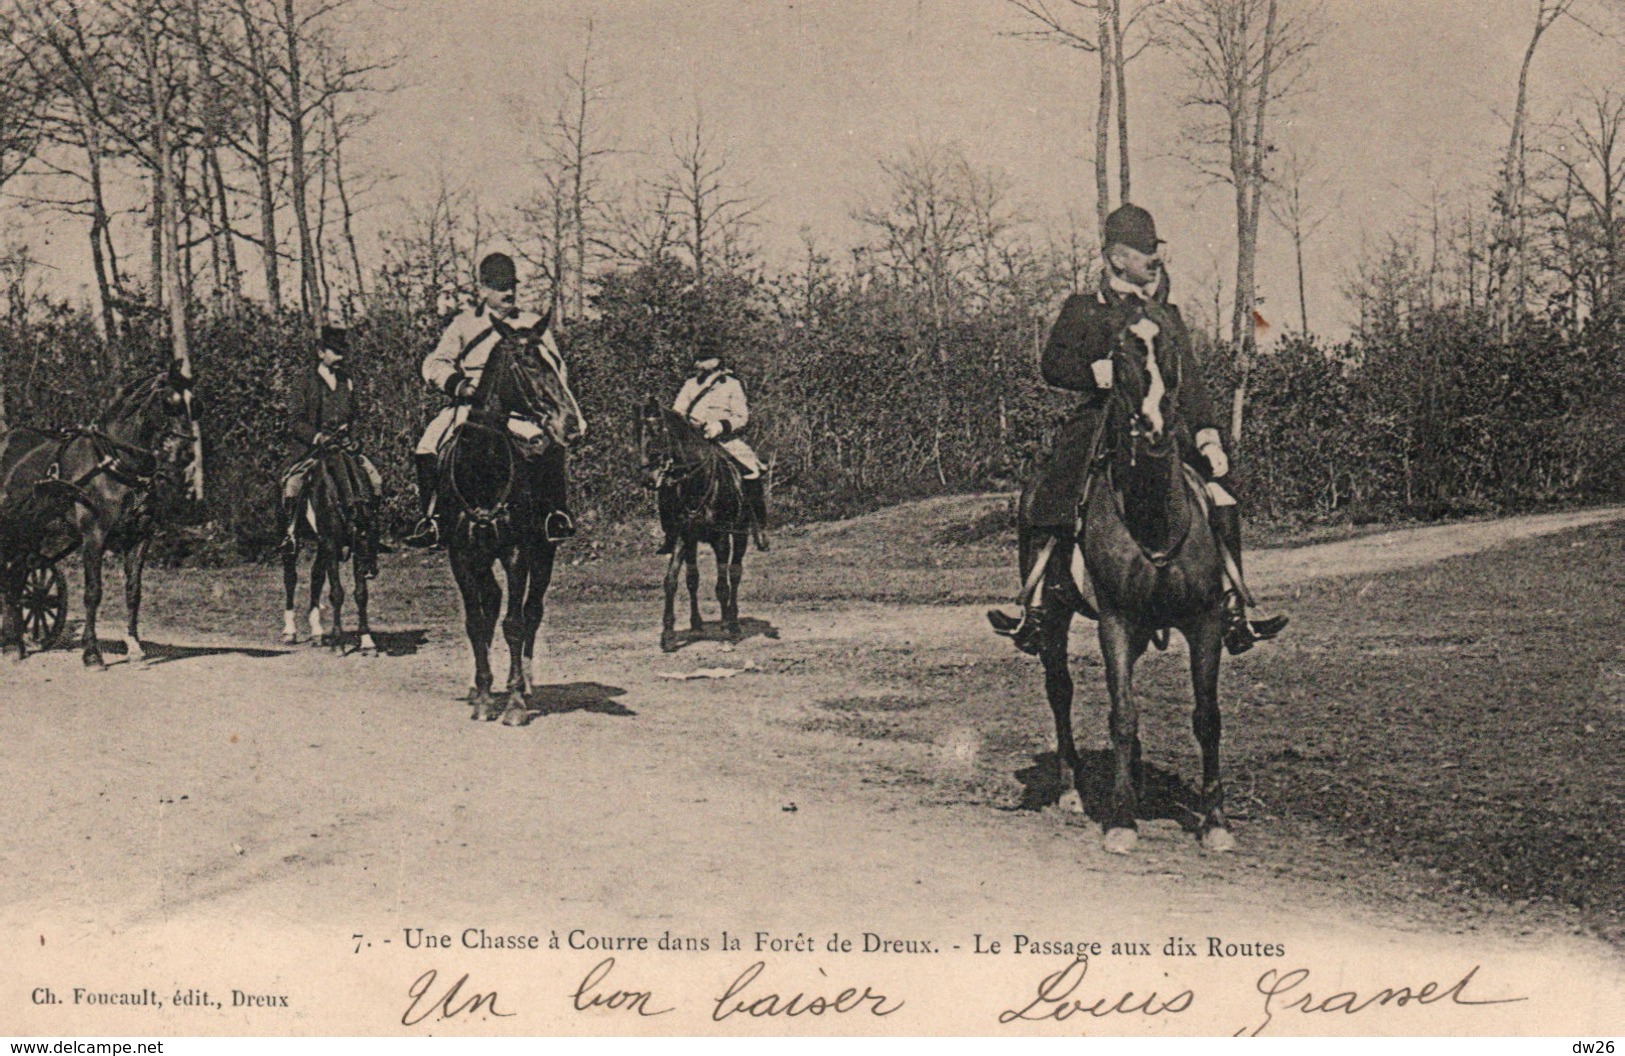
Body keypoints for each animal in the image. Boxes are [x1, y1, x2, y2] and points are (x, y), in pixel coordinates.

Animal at [0, 365, 198, 662]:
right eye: (170, 402)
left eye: (195, 405)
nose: (187, 454)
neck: (114, 465)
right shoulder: (94, 535)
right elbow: (93, 593)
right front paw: (92, 653)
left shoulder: (139, 538)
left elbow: (133, 592)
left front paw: (134, 645)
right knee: (11, 582)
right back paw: (16, 644)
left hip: (30, 534)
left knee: (16, 582)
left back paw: (21, 642)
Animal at [282, 435, 380, 649]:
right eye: (360, 537)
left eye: (376, 537)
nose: (370, 571)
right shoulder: (331, 545)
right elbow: (336, 593)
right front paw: (338, 642)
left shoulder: (343, 548)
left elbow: (361, 593)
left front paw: (366, 639)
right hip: (292, 539)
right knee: (290, 578)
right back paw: (290, 631)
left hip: (321, 545)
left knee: (316, 576)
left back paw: (317, 631)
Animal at [438, 316, 585, 718]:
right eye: (530, 363)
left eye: (554, 361)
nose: (571, 425)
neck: (483, 471)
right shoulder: (462, 555)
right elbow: (476, 621)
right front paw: (484, 695)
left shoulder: (517, 552)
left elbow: (515, 622)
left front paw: (515, 701)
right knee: (490, 605)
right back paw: (481, 686)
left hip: (544, 552)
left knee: (532, 610)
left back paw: (527, 683)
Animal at [637, 399, 757, 649]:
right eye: (638, 434)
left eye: (657, 432)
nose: (648, 480)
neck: (696, 483)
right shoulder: (682, 537)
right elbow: (671, 581)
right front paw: (668, 635)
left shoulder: (722, 539)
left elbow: (722, 586)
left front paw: (727, 631)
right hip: (692, 542)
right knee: (693, 579)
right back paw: (696, 624)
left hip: (740, 534)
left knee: (735, 574)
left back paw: (733, 622)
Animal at [1040, 324, 1228, 851]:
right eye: (1121, 360)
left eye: (1173, 357)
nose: (1154, 429)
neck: (1155, 520)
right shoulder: (1117, 621)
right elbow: (1123, 715)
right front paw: (1122, 819)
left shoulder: (1205, 621)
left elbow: (1207, 717)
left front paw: (1216, 822)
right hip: (1055, 614)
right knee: (1060, 689)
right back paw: (1071, 789)